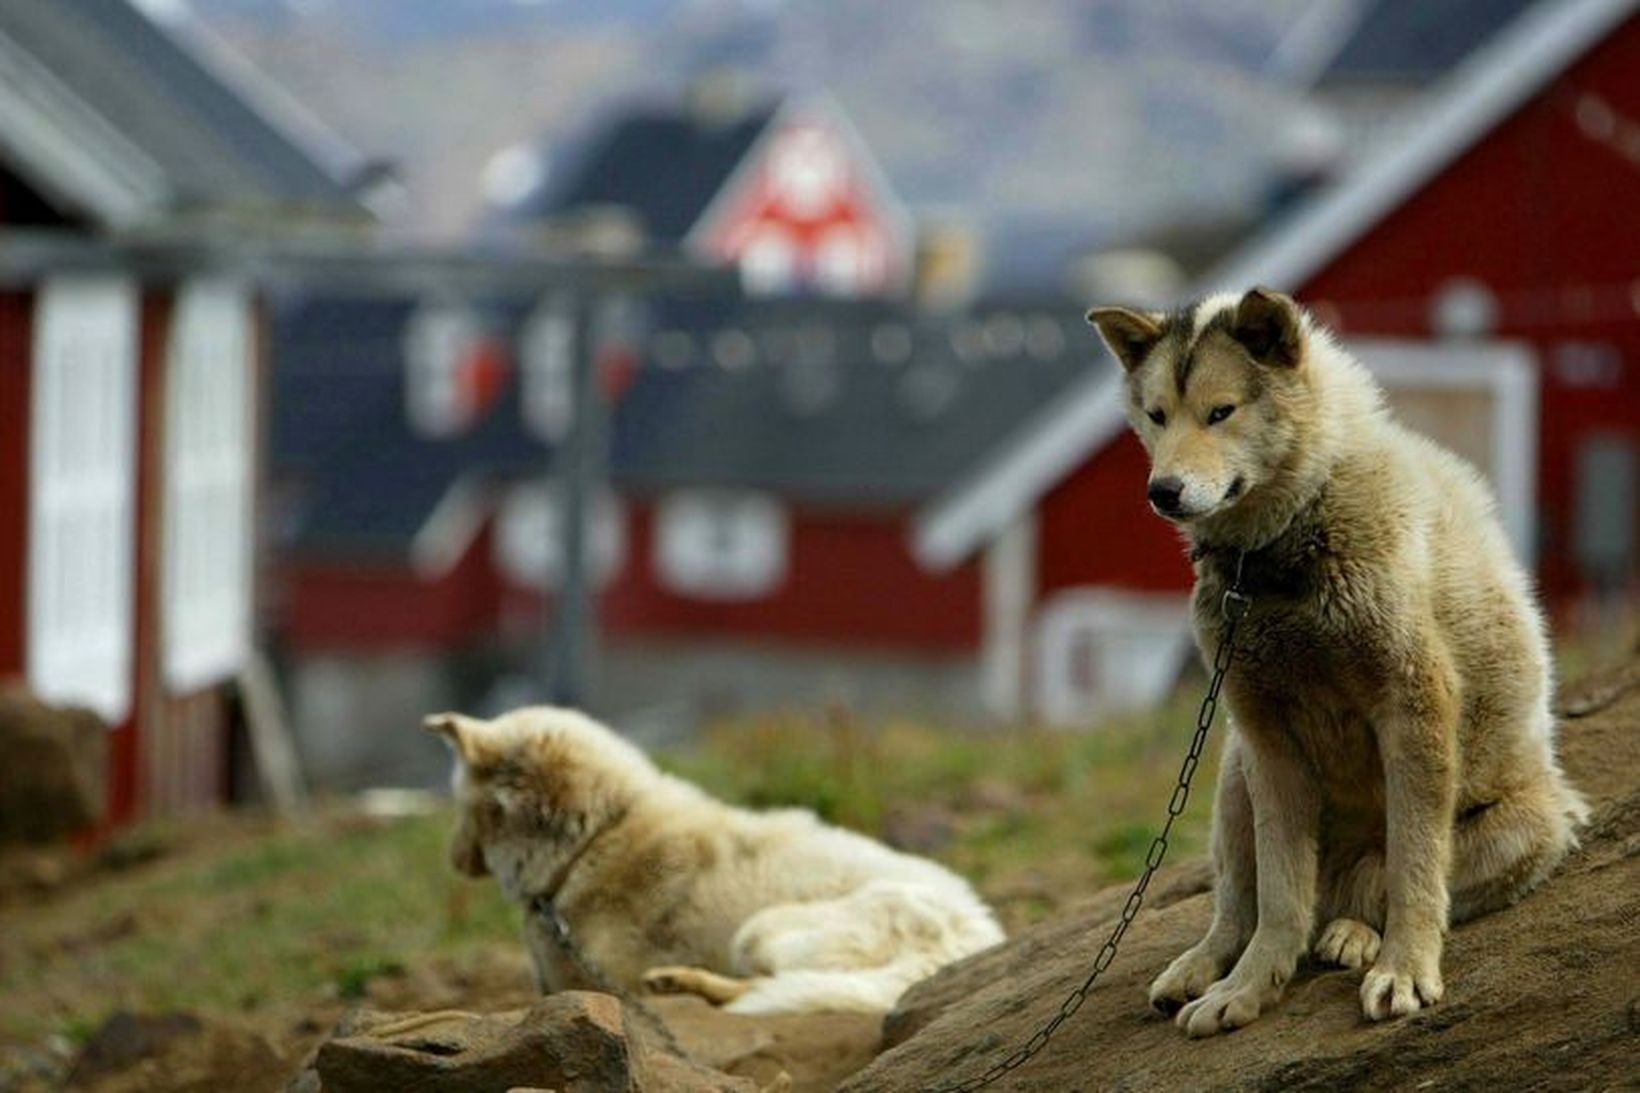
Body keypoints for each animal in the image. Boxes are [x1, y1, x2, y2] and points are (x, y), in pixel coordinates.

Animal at [429, 705, 1003, 1010]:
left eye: (458, 802)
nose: (452, 859)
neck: (594, 839)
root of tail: (973, 935)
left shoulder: (589, 981)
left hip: (760, 931)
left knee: (769, 989)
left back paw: (685, 983)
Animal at [1088, 285, 1587, 1037]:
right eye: (1157, 415)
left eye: (1220, 412)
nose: (1163, 491)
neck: (1284, 548)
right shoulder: (1265, 735)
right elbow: (1277, 896)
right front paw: (1248, 988)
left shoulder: (1413, 708)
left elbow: (1415, 869)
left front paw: (1406, 970)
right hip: (1232, 772)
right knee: (1240, 903)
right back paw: (1206, 965)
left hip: (1521, 829)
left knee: (1379, 887)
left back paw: (1355, 934)